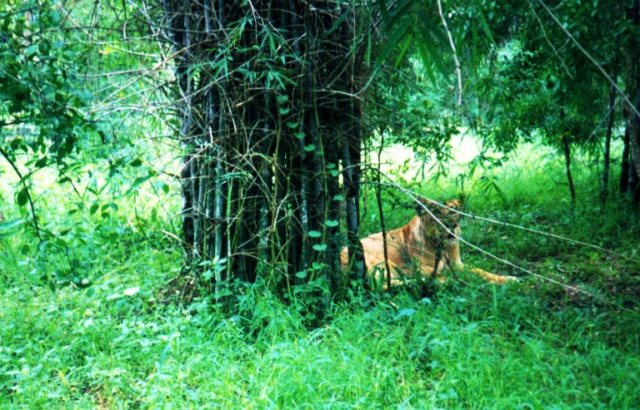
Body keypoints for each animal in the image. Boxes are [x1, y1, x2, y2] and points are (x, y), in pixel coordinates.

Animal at [340, 198, 517, 287]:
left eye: (453, 211)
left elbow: (481, 272)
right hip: (379, 262)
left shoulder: (458, 264)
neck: (443, 247)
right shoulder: (424, 268)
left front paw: (510, 279)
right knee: (381, 285)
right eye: (436, 212)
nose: (452, 226)